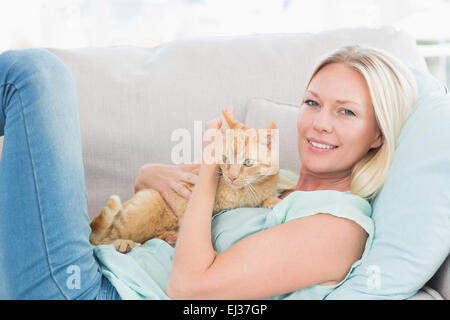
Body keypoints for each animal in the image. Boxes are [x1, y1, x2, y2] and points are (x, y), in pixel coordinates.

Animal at [89, 110, 282, 252]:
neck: (246, 191)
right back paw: (124, 243)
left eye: (248, 162)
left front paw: (273, 201)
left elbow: (268, 196)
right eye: (224, 158)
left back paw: (168, 237)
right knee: (100, 242)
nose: (231, 177)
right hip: (143, 206)